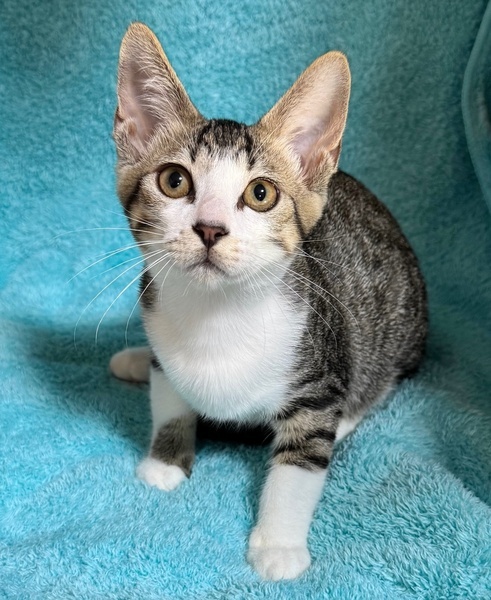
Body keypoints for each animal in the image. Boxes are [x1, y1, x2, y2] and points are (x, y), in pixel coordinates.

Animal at [109, 22, 427, 581]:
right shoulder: (162, 332)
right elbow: (170, 396)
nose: (210, 228)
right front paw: (166, 459)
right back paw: (132, 359)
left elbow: (299, 463)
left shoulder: (320, 374)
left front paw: (278, 543)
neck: (219, 314)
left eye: (261, 194)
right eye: (174, 181)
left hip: (397, 328)